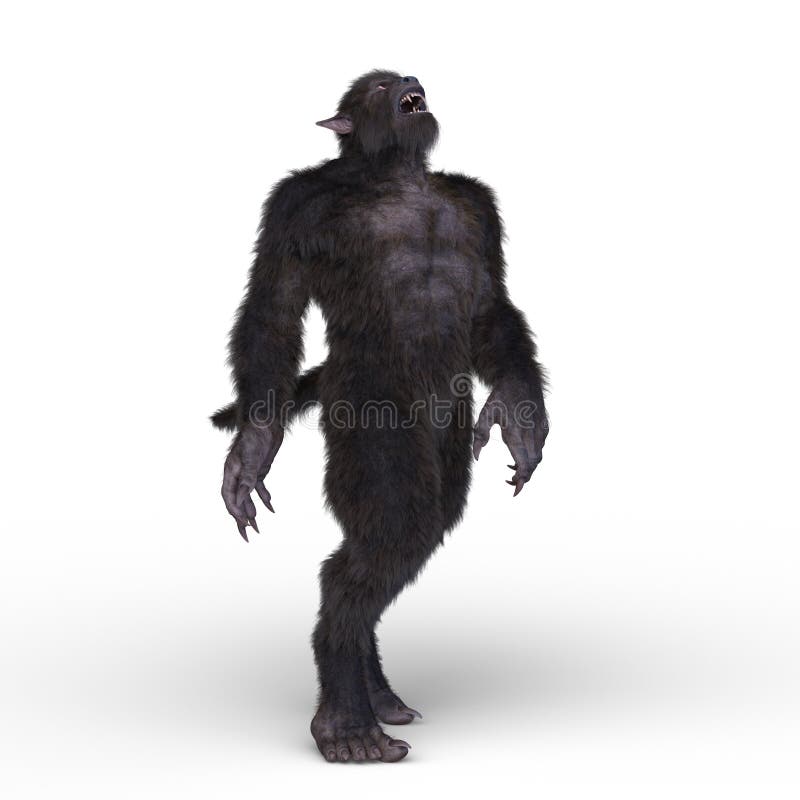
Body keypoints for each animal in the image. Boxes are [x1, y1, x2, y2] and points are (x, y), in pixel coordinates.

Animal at [212, 69, 549, 763]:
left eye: (399, 79)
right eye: (380, 86)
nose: (411, 81)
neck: (397, 174)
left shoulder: (480, 209)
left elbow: (491, 309)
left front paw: (522, 418)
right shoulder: (295, 204)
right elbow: (274, 308)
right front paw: (251, 450)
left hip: (447, 437)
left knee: (413, 529)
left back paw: (378, 698)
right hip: (374, 420)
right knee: (384, 537)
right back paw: (349, 723)